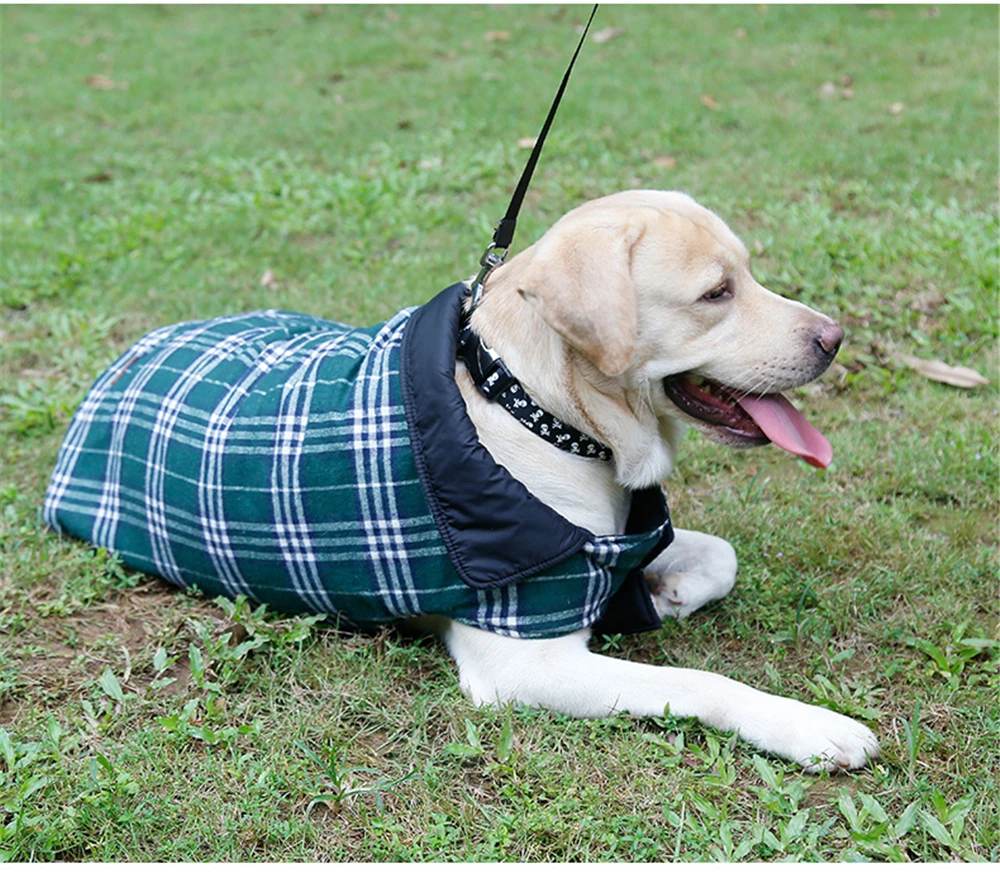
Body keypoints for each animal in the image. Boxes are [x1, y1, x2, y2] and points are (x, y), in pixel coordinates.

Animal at [438, 191, 876, 768]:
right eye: (716, 293)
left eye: (749, 273)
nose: (835, 338)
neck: (536, 410)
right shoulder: (523, 659)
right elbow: (700, 681)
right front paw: (807, 724)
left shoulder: (616, 540)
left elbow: (721, 552)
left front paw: (676, 593)